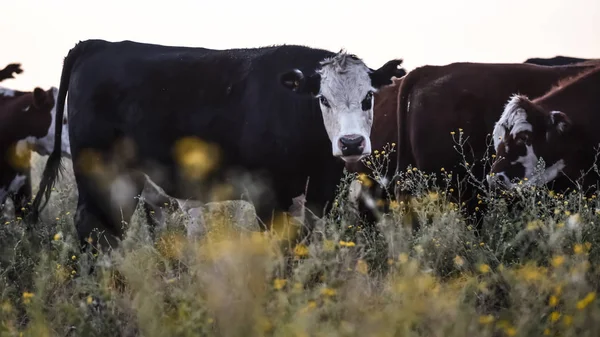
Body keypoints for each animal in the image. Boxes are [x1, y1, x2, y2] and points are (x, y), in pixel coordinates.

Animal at [29, 39, 404, 249]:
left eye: (369, 97)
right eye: (323, 99)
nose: (351, 143)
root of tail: (97, 44)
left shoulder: (319, 196)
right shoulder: (268, 196)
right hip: (105, 177)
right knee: (95, 229)